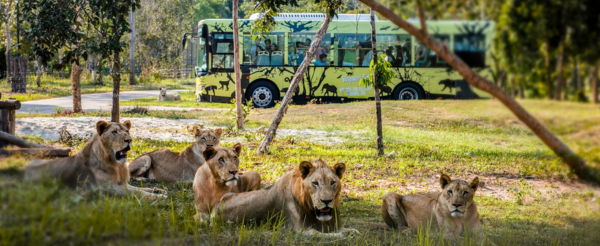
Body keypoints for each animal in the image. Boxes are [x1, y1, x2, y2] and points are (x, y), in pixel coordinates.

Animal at [24, 121, 165, 200]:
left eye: (127, 131)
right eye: (115, 132)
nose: (129, 140)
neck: (116, 165)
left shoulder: (121, 183)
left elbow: (139, 188)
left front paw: (158, 190)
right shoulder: (109, 187)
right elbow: (136, 192)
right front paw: (158, 197)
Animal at [211, 160, 358, 236]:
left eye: (332, 182)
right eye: (315, 183)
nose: (326, 201)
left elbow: (344, 230)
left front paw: (353, 231)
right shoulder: (300, 230)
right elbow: (326, 234)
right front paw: (345, 236)